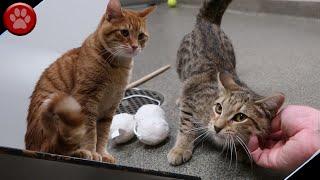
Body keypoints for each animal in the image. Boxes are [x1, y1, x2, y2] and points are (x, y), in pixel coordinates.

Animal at [24, 0, 156, 163]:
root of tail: (30, 147)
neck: (117, 68)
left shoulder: (109, 109)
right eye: (124, 32)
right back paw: (80, 152)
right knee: (60, 149)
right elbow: (91, 134)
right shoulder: (86, 103)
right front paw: (92, 153)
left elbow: (103, 135)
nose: (135, 46)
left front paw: (102, 153)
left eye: (141, 36)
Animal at [168, 0, 284, 166]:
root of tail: (207, 22)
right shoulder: (191, 97)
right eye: (218, 108)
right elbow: (186, 125)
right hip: (181, 67)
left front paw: (241, 150)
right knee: (183, 84)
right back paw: (179, 98)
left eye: (240, 117)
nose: (217, 127)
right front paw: (181, 148)